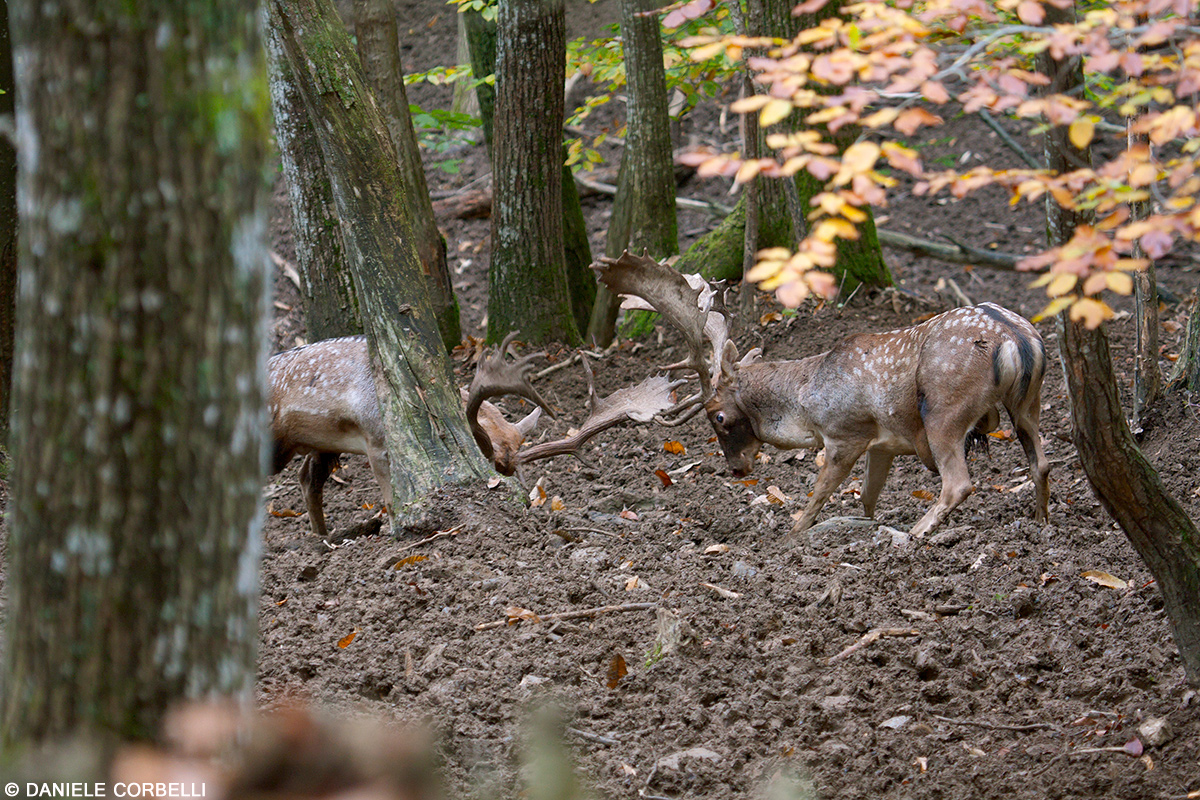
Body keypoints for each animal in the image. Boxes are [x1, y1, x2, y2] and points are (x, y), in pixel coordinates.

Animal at [597, 250, 1051, 537]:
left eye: (719, 417)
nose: (738, 470)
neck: (806, 403)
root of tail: (1016, 338)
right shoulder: (883, 442)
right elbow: (867, 495)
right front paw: (866, 525)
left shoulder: (845, 433)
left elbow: (818, 495)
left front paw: (791, 537)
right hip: (1028, 403)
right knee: (1041, 462)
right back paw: (1041, 521)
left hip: (945, 409)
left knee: (958, 482)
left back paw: (919, 533)